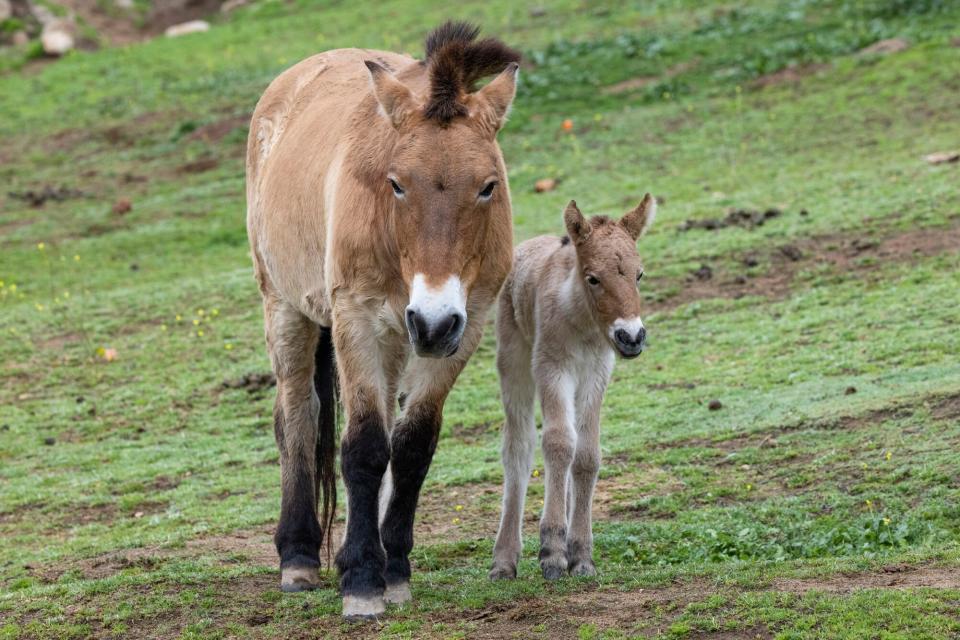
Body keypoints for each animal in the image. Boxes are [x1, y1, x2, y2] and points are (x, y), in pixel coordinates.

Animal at [244, 22, 520, 616]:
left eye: (488, 185)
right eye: (396, 182)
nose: (433, 321)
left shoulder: (465, 328)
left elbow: (411, 448)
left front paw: (394, 570)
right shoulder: (358, 321)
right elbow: (365, 447)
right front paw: (363, 582)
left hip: (401, 340)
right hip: (287, 309)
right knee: (296, 418)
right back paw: (298, 557)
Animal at [492, 194, 656, 580]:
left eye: (639, 274)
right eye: (593, 278)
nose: (631, 337)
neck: (582, 324)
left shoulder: (597, 373)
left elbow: (586, 454)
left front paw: (580, 554)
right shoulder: (552, 368)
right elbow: (557, 444)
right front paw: (551, 552)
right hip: (514, 362)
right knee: (519, 447)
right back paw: (504, 560)